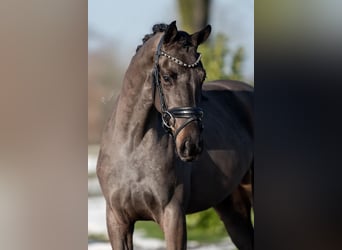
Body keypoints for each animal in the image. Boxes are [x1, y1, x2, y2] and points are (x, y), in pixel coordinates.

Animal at [97, 20, 252, 249]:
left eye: (202, 77)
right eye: (167, 77)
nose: (191, 145)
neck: (132, 148)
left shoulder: (173, 217)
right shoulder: (117, 220)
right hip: (231, 207)